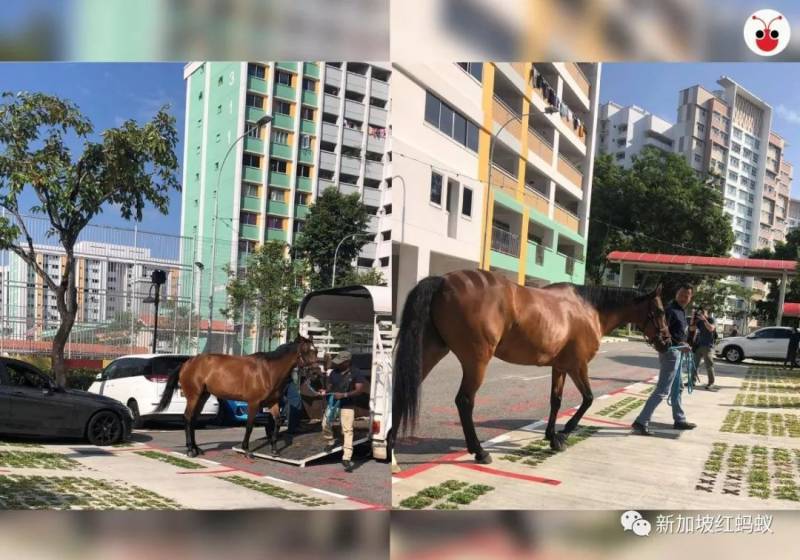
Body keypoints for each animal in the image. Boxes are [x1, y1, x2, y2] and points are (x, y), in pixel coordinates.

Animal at [155, 335, 318, 458]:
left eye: (316, 351)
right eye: (306, 351)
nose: (316, 372)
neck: (268, 371)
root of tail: (186, 363)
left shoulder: (273, 402)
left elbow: (277, 422)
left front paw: (274, 450)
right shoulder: (253, 403)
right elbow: (249, 425)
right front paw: (246, 450)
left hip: (203, 396)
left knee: (193, 419)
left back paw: (196, 449)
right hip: (194, 396)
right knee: (188, 418)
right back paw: (190, 449)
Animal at [392, 269, 670, 465]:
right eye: (659, 310)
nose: (667, 342)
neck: (588, 309)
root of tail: (443, 281)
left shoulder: (560, 367)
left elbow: (556, 400)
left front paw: (551, 435)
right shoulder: (577, 366)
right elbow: (588, 399)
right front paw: (564, 433)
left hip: (431, 351)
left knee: (403, 391)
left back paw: (391, 447)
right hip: (476, 360)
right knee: (464, 401)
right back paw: (479, 451)